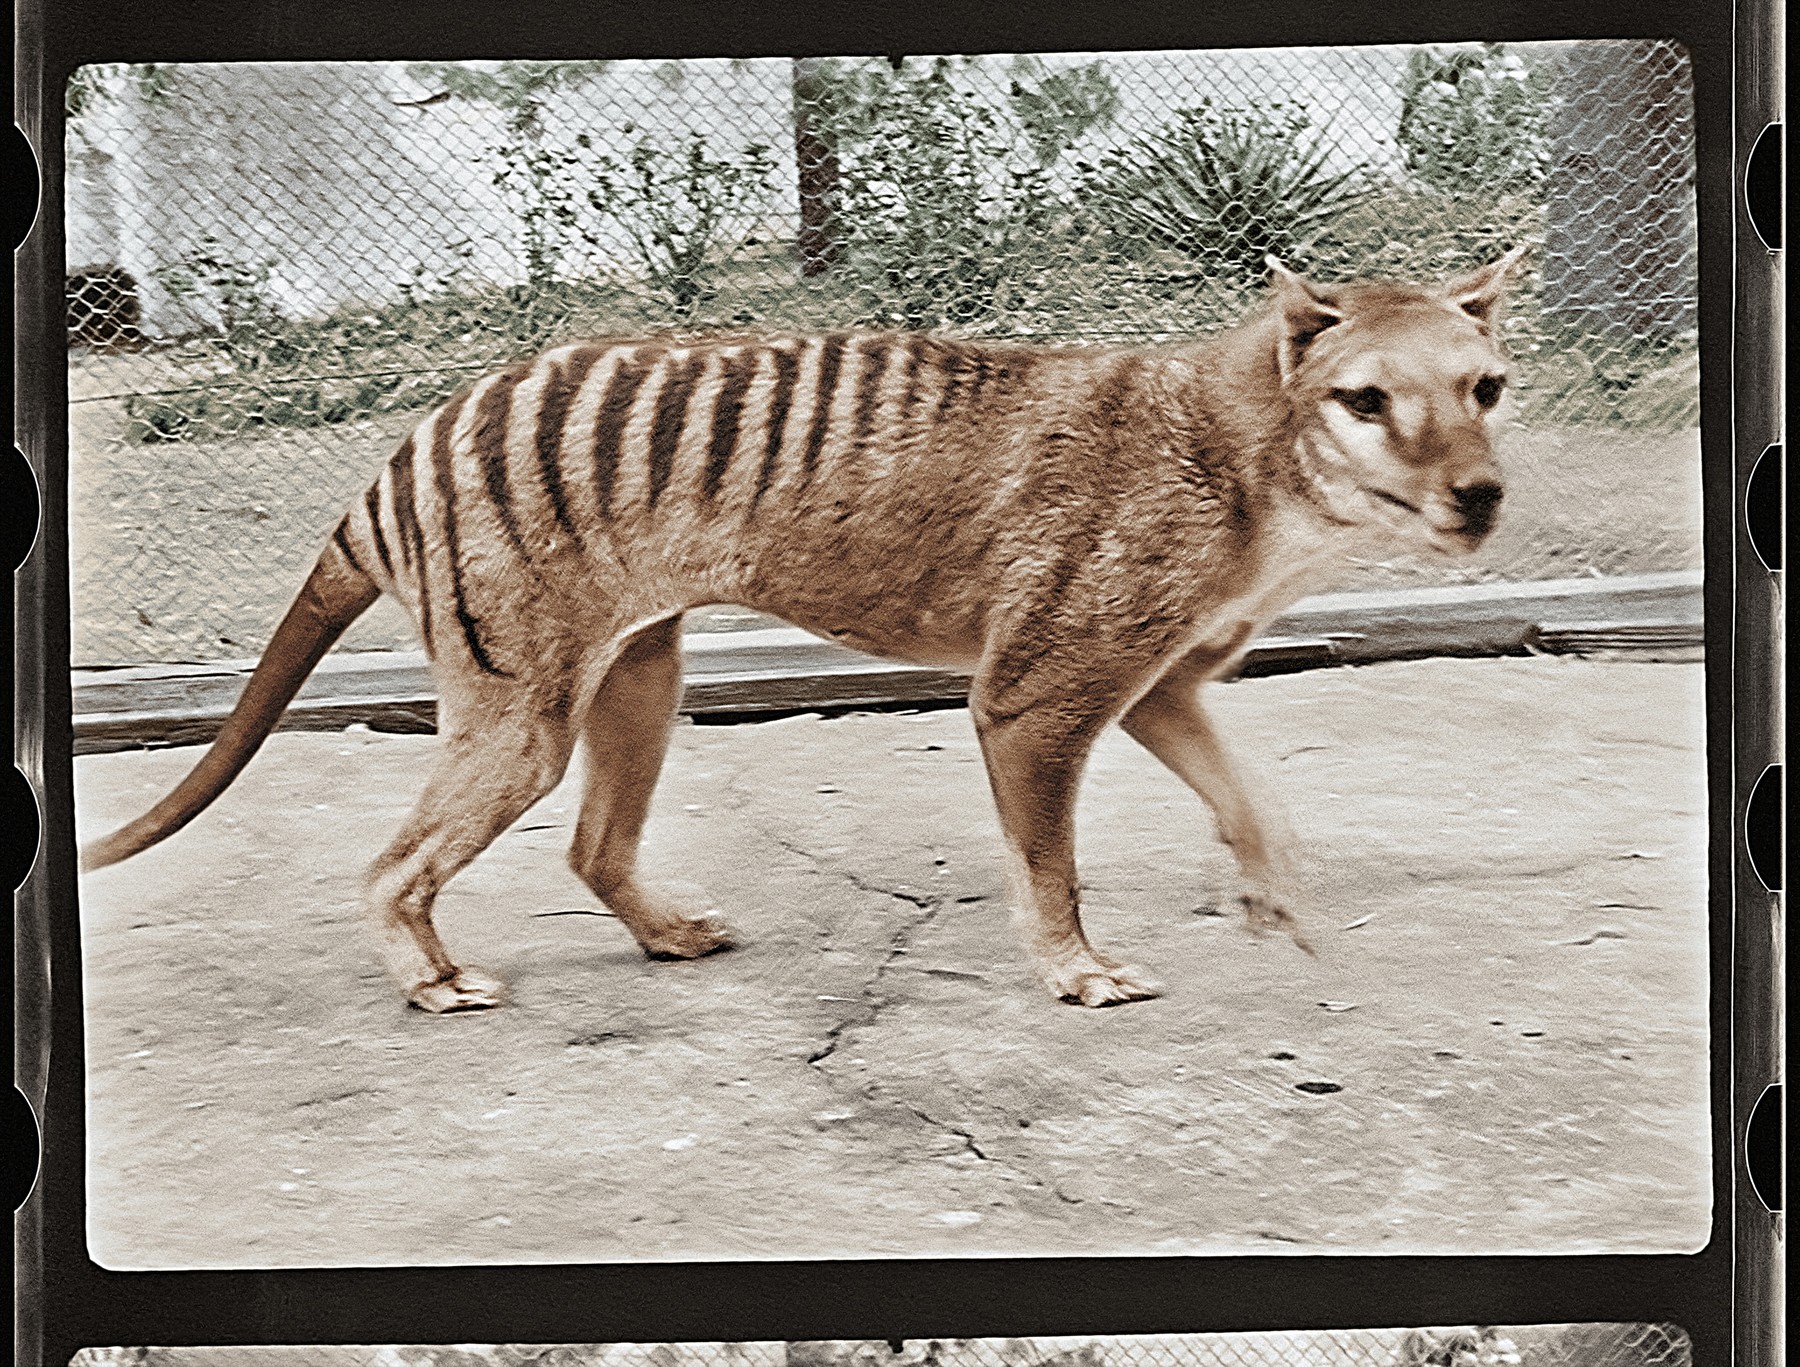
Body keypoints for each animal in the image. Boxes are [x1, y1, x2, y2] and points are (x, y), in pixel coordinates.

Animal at [82, 247, 1528, 1011]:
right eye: (1364, 399)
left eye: (1486, 386)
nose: (1481, 494)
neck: (1235, 443)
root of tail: (402, 454)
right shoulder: (1038, 692)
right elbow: (1052, 862)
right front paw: (1074, 969)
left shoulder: (1158, 678)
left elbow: (1252, 799)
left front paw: (1274, 894)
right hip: (524, 713)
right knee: (398, 866)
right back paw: (430, 975)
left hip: (638, 675)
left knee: (594, 845)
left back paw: (660, 931)